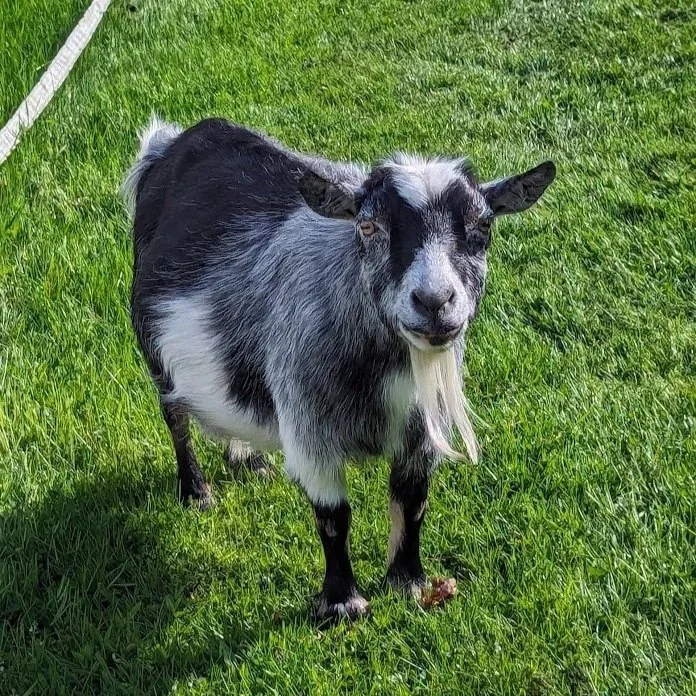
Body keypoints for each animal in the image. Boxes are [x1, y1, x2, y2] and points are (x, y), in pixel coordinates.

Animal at [124, 117, 555, 620]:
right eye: (367, 226)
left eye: (483, 225)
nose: (434, 301)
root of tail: (169, 144)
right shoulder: (310, 427)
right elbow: (333, 518)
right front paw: (342, 605)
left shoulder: (421, 432)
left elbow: (412, 502)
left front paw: (408, 583)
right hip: (157, 355)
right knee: (175, 418)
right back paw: (195, 492)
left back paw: (249, 459)